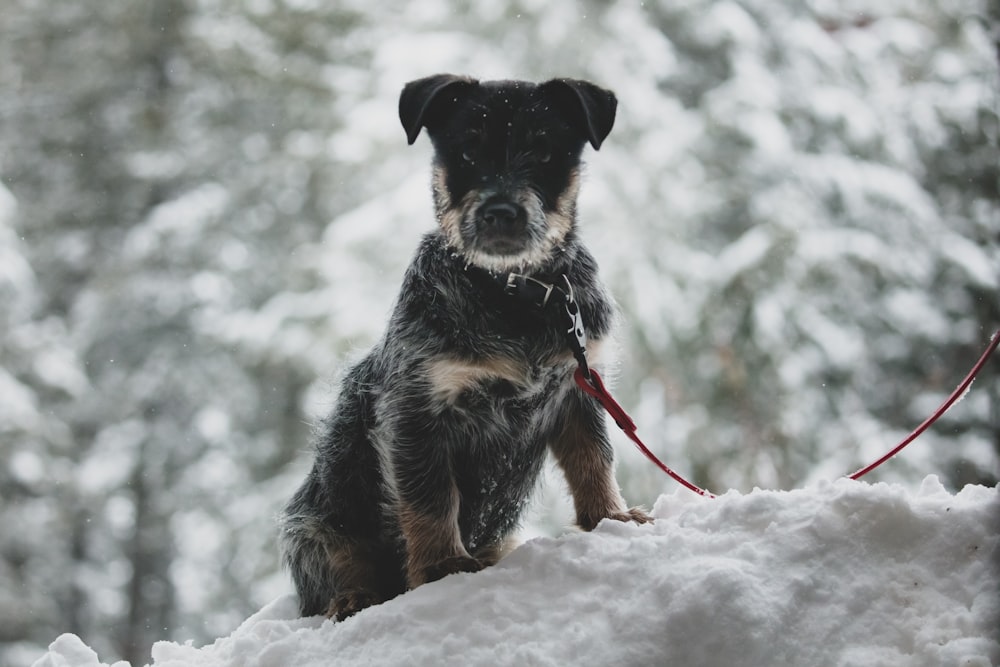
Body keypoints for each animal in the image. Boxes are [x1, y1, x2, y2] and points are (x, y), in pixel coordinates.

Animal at [282, 74, 652, 620]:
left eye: (544, 150)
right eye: (467, 151)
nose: (501, 212)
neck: (513, 292)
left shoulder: (579, 391)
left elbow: (594, 461)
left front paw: (611, 519)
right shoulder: (417, 411)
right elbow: (431, 498)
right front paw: (443, 566)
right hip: (316, 526)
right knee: (340, 566)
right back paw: (353, 597)